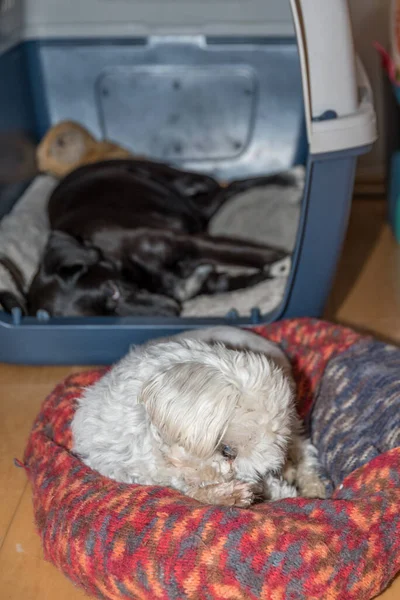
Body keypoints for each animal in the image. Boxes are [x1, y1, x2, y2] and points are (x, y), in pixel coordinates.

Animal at [71, 328, 324, 506]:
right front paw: (225, 495)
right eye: (227, 451)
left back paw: (312, 485)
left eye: (261, 469)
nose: (260, 495)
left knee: (304, 448)